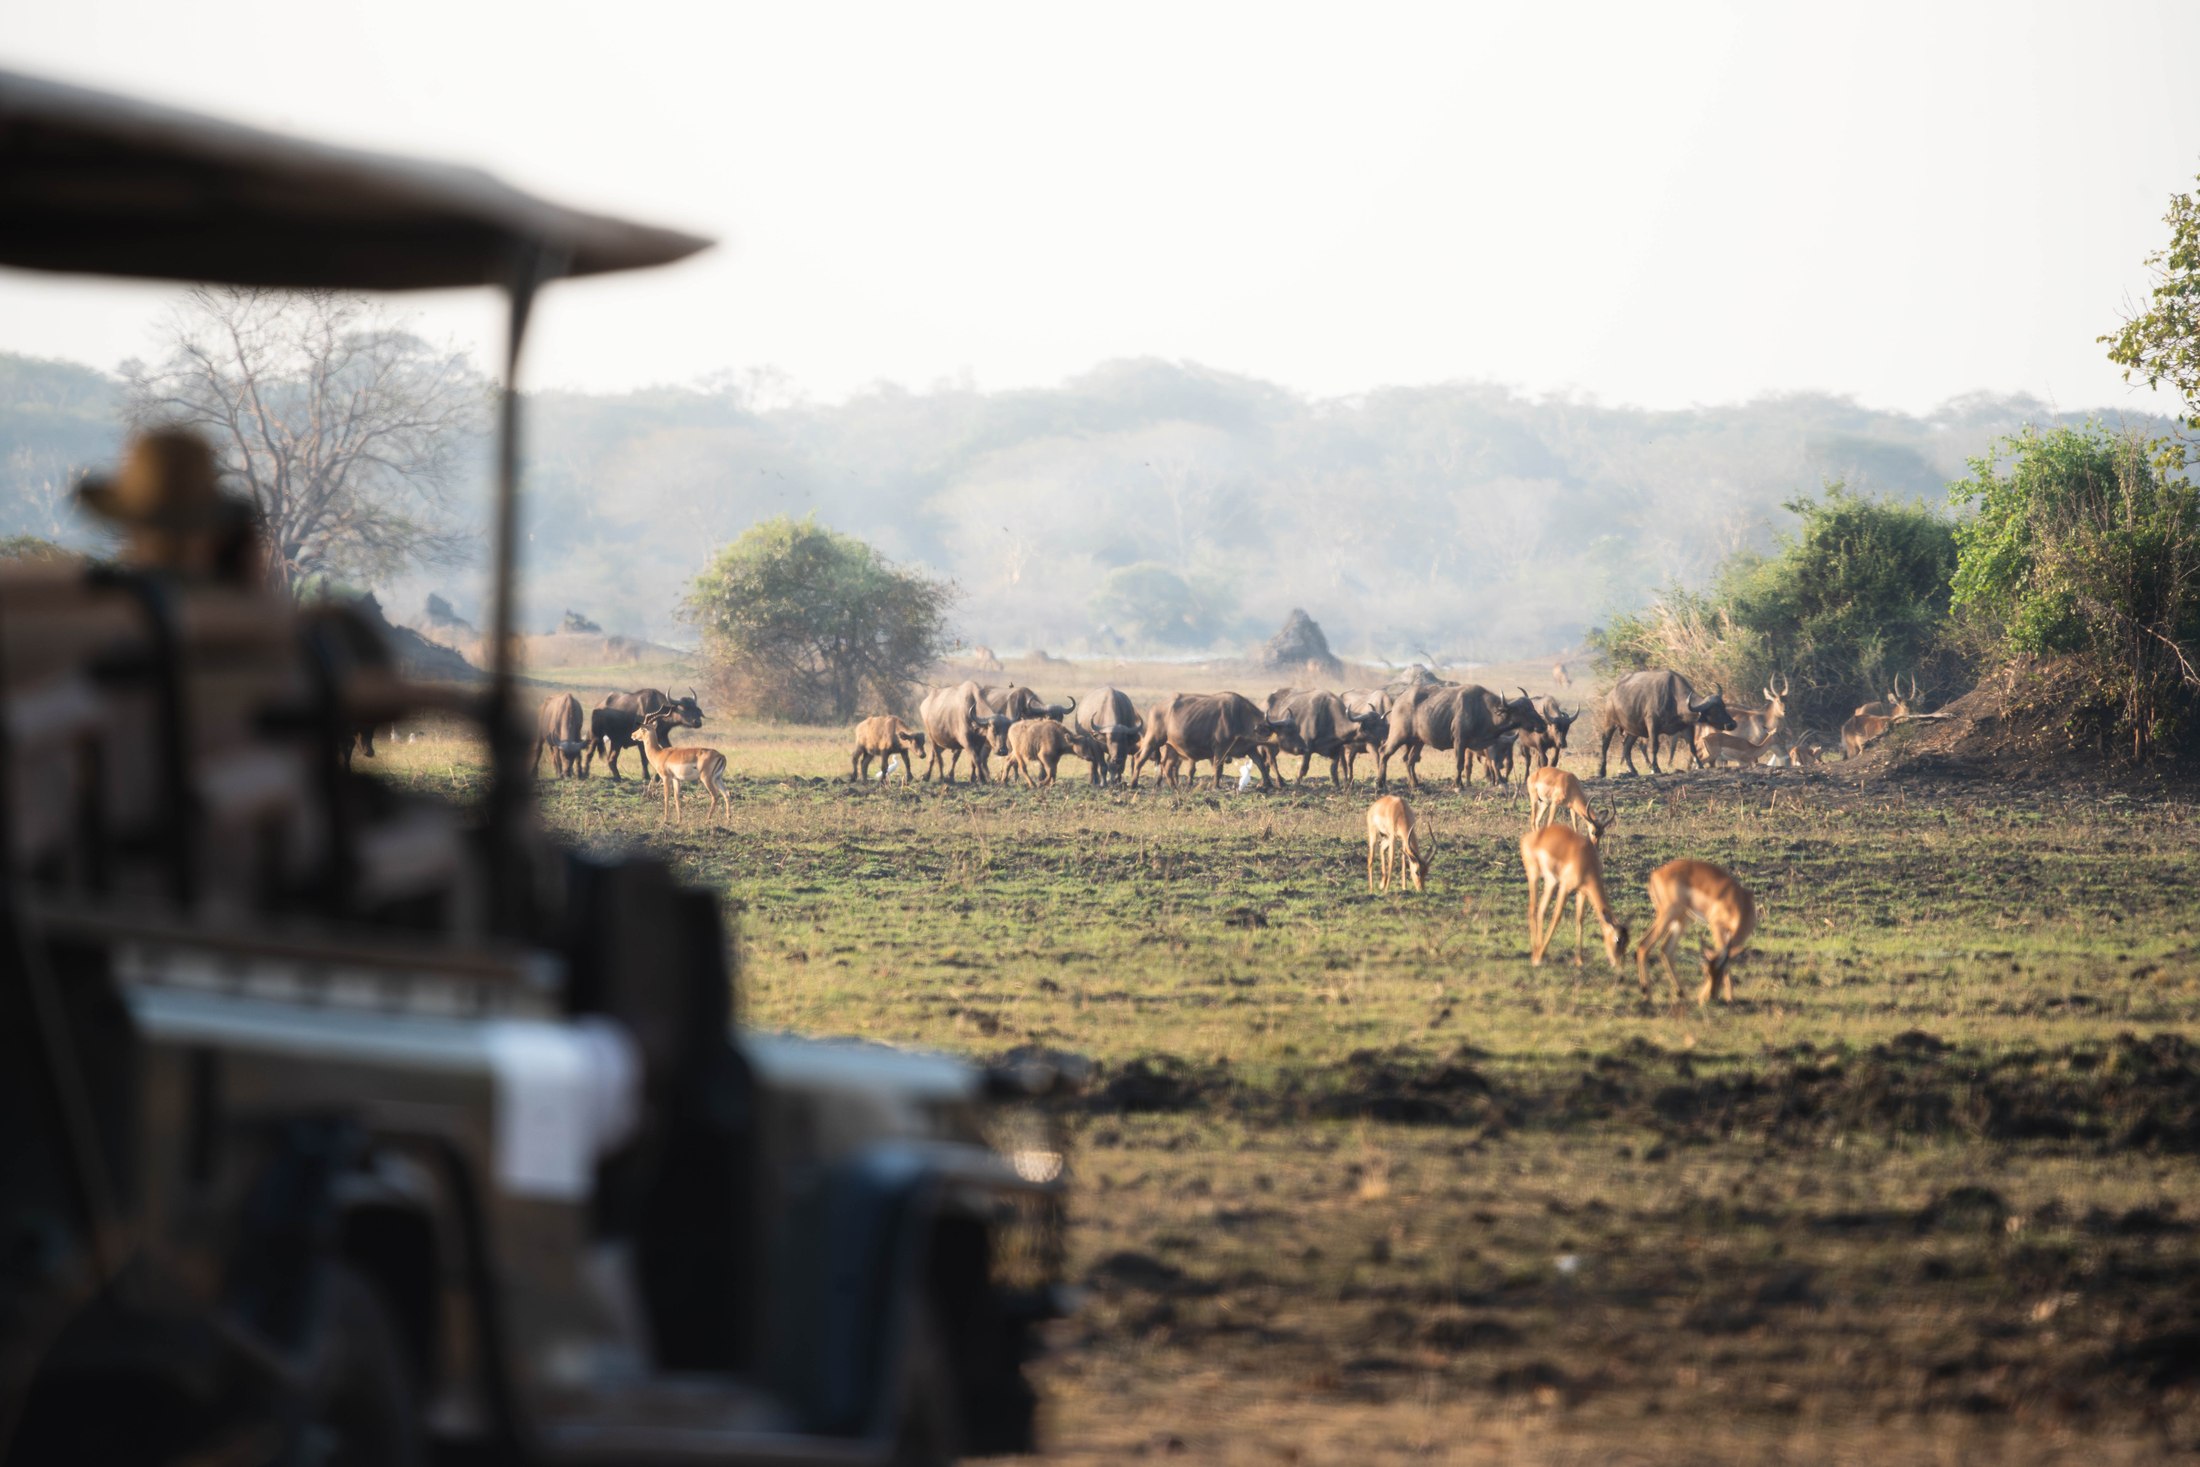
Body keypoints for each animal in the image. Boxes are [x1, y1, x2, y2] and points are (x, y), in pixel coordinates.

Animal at [1519, 822, 1629, 969]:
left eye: (1627, 941)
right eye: (1617, 940)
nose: (1619, 964)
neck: (1586, 860)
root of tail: (1528, 838)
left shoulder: (1582, 891)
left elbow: (1579, 918)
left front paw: (1579, 960)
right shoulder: (1565, 887)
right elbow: (1556, 916)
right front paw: (1540, 957)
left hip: (1551, 882)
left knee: (1541, 910)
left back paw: (1537, 952)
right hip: (1534, 876)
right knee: (1532, 908)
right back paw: (1536, 956)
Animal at [1597, 670, 1735, 777]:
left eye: (1723, 706)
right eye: (1715, 711)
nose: (1732, 724)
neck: (1673, 699)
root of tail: (1612, 694)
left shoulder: (1686, 727)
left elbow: (1692, 746)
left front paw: (1700, 765)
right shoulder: (1652, 725)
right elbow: (1654, 746)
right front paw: (1655, 768)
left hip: (1633, 730)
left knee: (1626, 747)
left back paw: (1633, 770)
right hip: (1609, 723)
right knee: (1605, 744)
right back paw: (1601, 771)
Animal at [1636, 858, 1756, 1006]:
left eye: (1719, 973)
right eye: (1706, 972)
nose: (1711, 997)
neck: (1740, 903)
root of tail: (1655, 874)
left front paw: (1726, 997)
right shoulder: (1715, 925)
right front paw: (1720, 998)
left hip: (1682, 919)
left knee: (1666, 949)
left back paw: (1682, 994)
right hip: (1669, 915)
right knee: (1644, 944)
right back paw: (1647, 995)